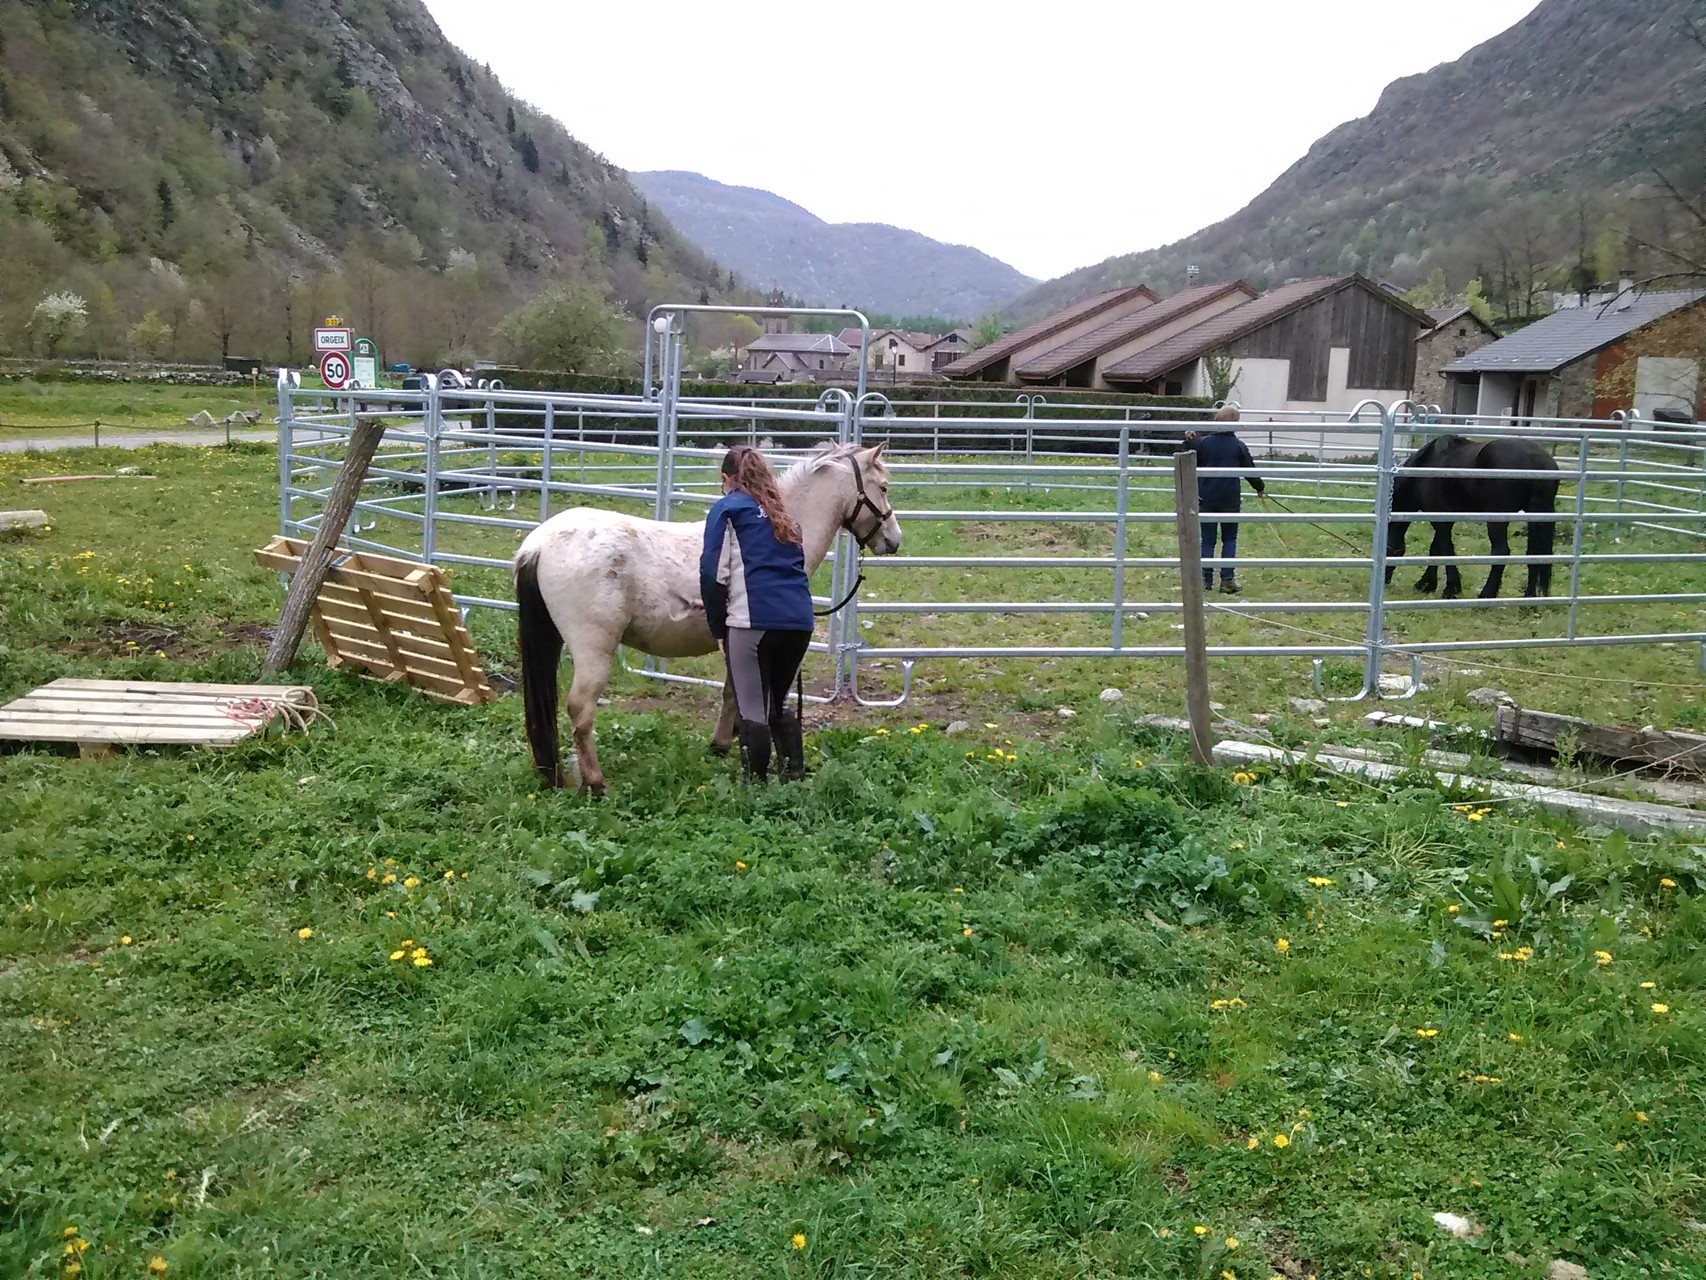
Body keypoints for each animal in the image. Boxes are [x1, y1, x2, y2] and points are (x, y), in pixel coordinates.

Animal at [508, 447, 900, 798]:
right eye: (882, 486)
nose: (894, 541)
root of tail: (538, 545)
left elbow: (732, 694)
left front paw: (721, 745)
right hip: (593, 652)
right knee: (580, 711)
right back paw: (595, 784)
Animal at [1385, 436, 1562, 600]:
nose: (1385, 581)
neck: (1425, 469)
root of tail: (1536, 459)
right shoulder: (1445, 517)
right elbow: (1436, 548)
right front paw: (1426, 584)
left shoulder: (1439, 517)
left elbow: (1445, 549)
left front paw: (1450, 589)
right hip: (1537, 515)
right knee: (1535, 553)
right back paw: (1529, 599)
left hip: (1497, 518)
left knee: (1501, 551)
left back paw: (1487, 594)